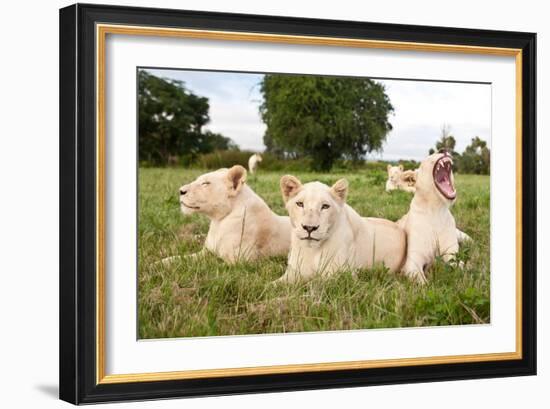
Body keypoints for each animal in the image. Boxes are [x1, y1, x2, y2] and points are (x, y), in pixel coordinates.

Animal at [278, 175, 408, 284]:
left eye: (325, 206)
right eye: (300, 204)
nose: (309, 228)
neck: (313, 250)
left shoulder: (342, 276)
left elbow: (314, 283)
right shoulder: (293, 271)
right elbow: (275, 285)